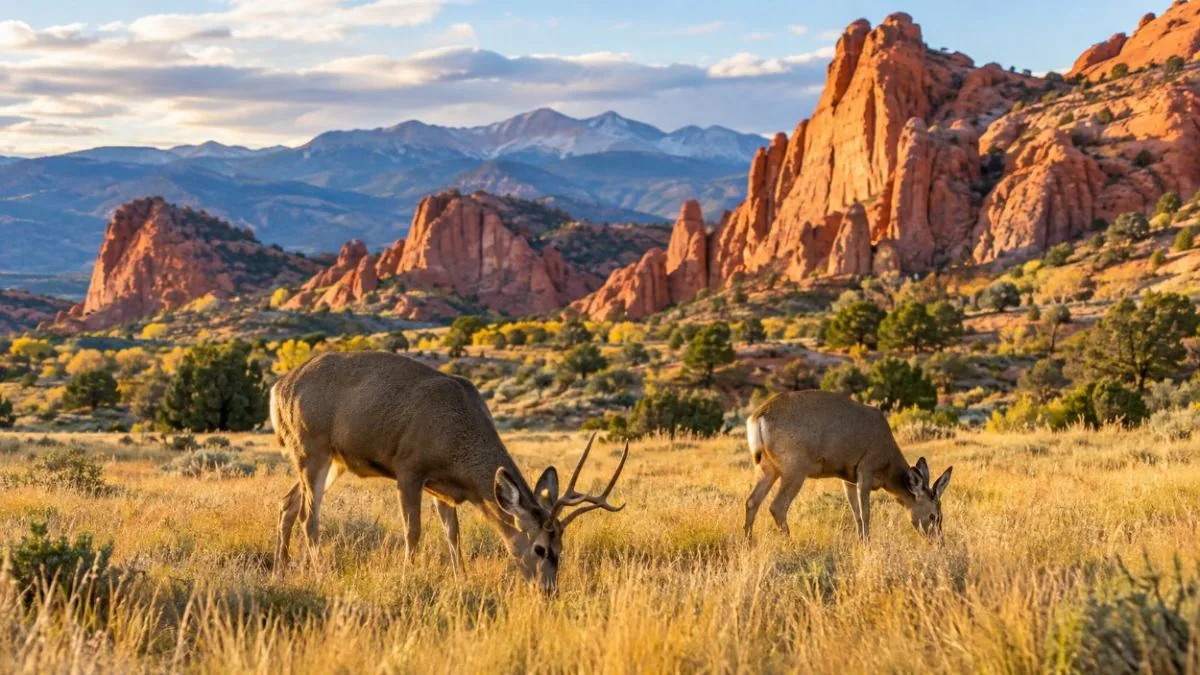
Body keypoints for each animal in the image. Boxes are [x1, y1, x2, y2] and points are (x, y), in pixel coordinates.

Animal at [269, 351, 628, 594]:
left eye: (561, 548)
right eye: (540, 549)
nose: (549, 590)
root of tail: (278, 388)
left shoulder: (440, 488)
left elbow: (453, 535)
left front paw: (462, 580)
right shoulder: (409, 468)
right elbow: (413, 531)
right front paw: (407, 576)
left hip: (332, 461)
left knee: (287, 504)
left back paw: (280, 571)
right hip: (312, 447)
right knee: (308, 516)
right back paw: (321, 574)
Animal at [743, 390, 952, 541]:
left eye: (942, 515)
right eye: (933, 516)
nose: (938, 542)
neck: (887, 463)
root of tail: (758, 417)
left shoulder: (848, 479)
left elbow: (856, 514)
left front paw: (860, 541)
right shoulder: (866, 470)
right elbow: (866, 514)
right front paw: (867, 544)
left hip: (767, 467)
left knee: (752, 501)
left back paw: (748, 543)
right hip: (795, 468)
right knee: (777, 506)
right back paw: (790, 543)